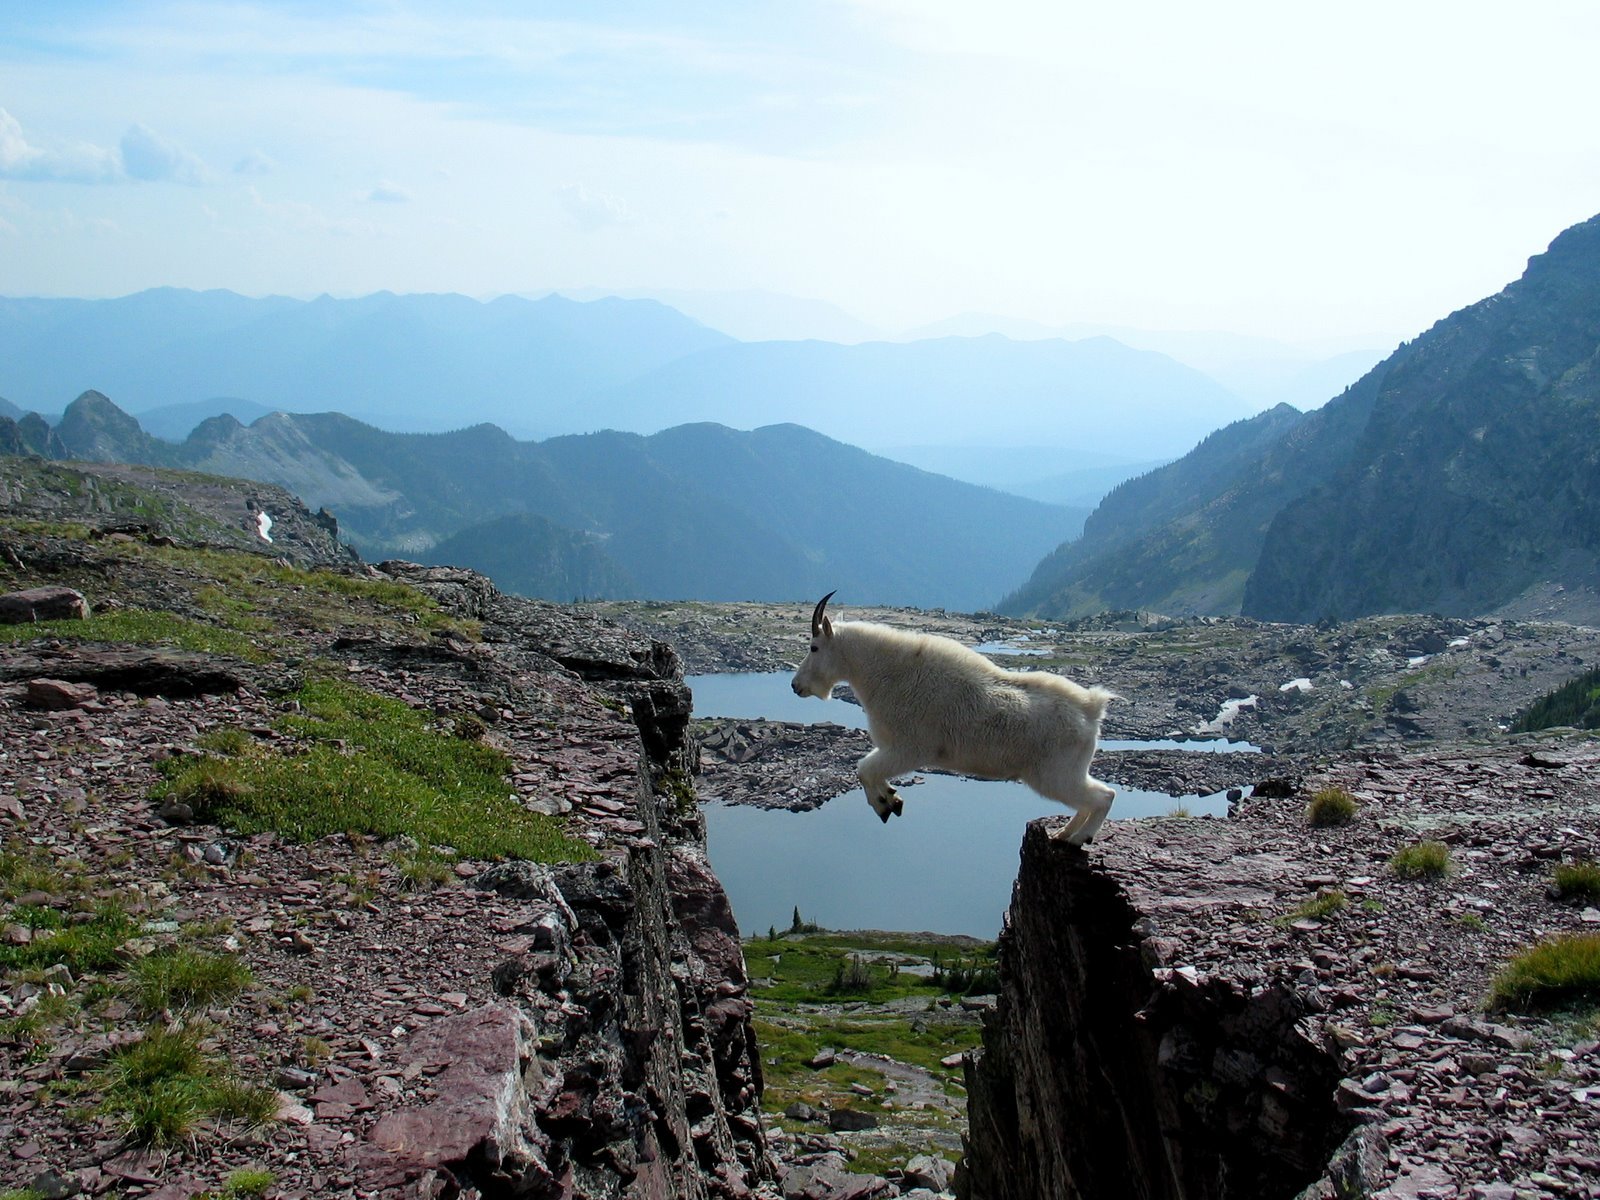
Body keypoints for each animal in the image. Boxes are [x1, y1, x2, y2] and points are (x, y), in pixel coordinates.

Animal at [790, 593, 1117, 845]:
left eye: (814, 647)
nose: (796, 685)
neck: (886, 673)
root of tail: (1092, 709)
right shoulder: (891, 749)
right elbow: (868, 770)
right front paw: (892, 798)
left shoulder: (909, 749)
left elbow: (864, 768)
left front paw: (886, 805)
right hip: (1066, 772)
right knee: (1091, 798)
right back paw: (1064, 833)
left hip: (1055, 775)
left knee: (1104, 796)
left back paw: (1079, 838)